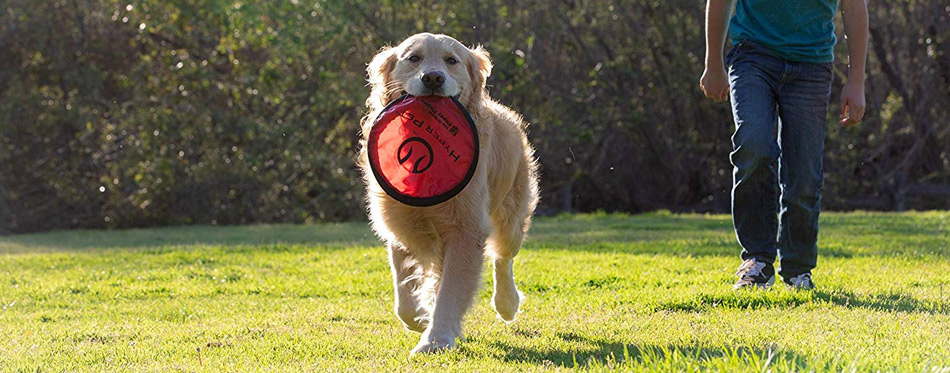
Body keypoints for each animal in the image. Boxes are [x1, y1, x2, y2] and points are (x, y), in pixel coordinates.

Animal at [358, 33, 540, 354]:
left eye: (451, 60)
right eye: (413, 58)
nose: (433, 78)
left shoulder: (466, 229)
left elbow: (450, 291)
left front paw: (436, 338)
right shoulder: (400, 224)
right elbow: (404, 294)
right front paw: (420, 320)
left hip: (511, 215)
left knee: (503, 258)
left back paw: (507, 303)